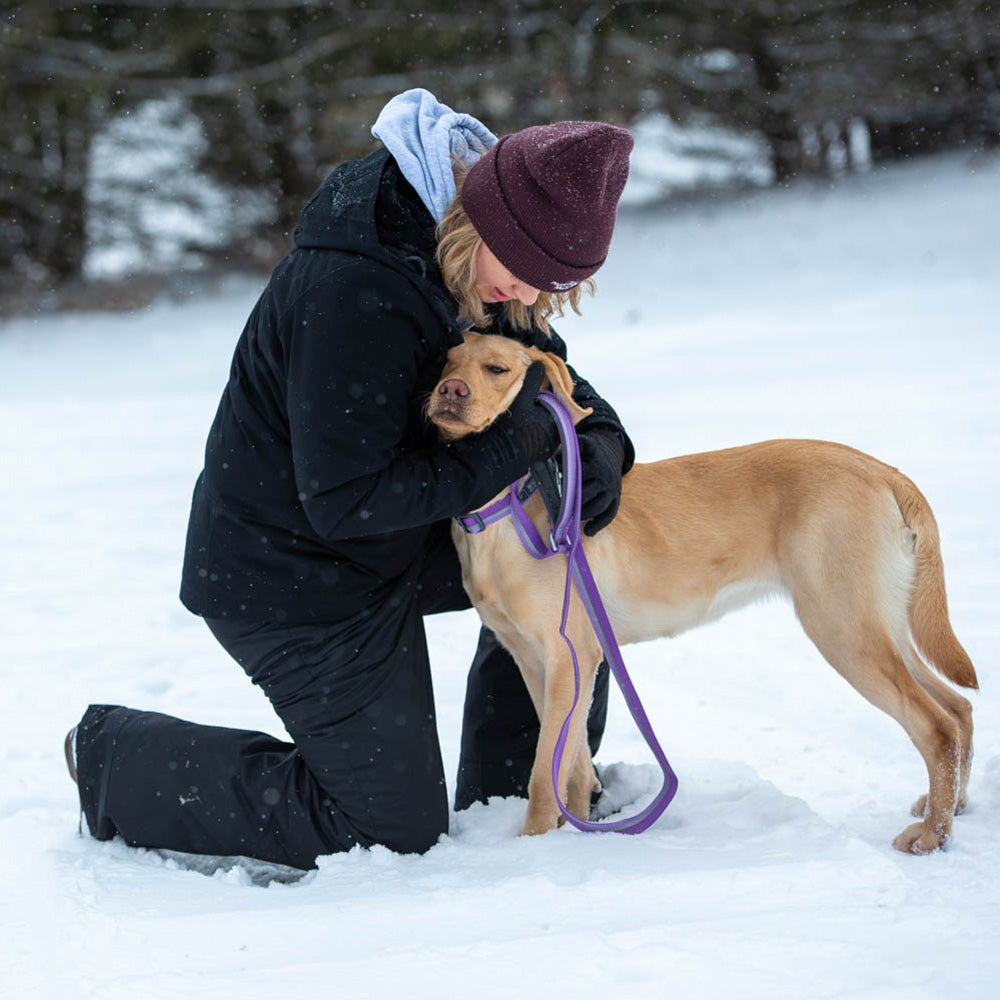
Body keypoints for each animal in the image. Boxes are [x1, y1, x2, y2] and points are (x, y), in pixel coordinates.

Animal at [430, 332, 976, 856]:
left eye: (496, 368)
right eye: (445, 361)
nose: (449, 391)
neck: (504, 507)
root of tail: (885, 471)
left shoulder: (570, 657)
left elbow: (545, 775)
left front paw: (532, 847)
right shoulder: (537, 661)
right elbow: (575, 764)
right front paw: (575, 828)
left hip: (843, 628)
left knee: (936, 727)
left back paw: (932, 836)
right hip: (881, 623)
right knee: (959, 708)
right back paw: (951, 808)